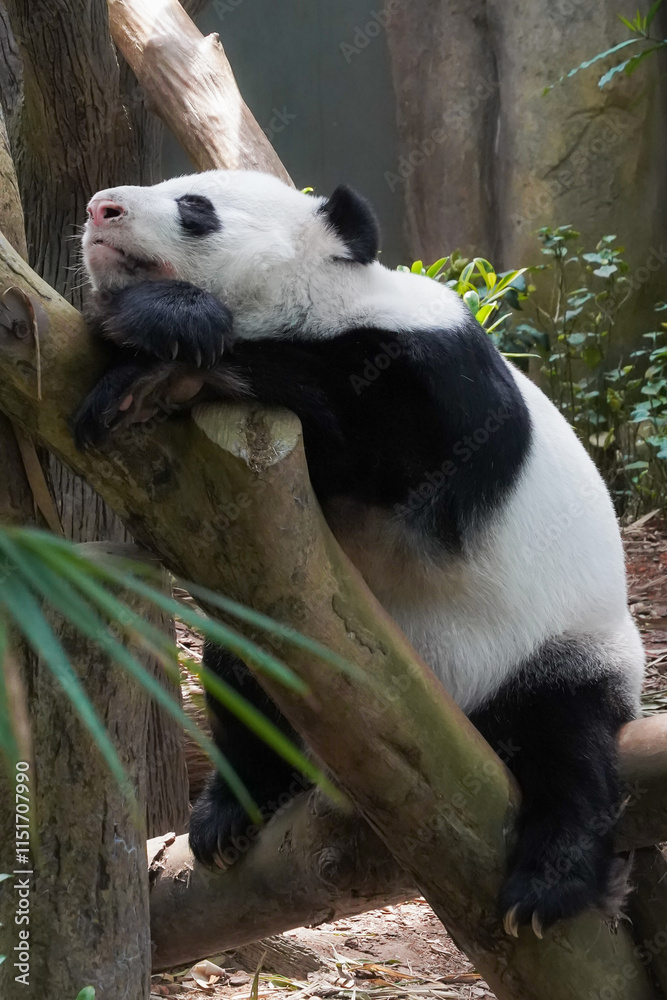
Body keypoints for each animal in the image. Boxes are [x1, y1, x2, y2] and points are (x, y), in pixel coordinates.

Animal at [76, 169, 644, 937]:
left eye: (196, 207)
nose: (99, 207)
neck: (326, 303)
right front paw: (146, 366)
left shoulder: (435, 377)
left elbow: (375, 442)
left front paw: (167, 333)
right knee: (239, 679)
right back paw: (230, 810)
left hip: (564, 647)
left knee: (569, 746)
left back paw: (547, 885)